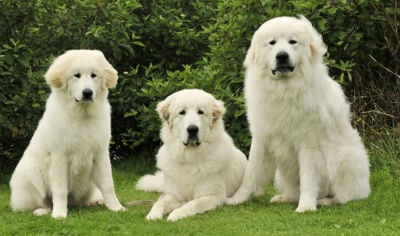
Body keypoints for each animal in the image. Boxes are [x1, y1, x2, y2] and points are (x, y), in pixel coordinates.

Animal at [9, 49, 126, 219]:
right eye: (76, 75)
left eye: (94, 75)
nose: (87, 93)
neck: (81, 116)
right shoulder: (60, 156)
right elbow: (60, 189)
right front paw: (59, 214)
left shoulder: (101, 153)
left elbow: (108, 184)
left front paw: (116, 207)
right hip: (30, 174)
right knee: (41, 201)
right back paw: (42, 210)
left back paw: (96, 201)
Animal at [136, 88, 245, 221]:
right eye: (182, 112)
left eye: (201, 112)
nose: (192, 129)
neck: (189, 158)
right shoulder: (173, 194)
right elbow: (159, 202)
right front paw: (153, 214)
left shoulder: (213, 196)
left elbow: (192, 203)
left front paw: (176, 214)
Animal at [227, 16, 370, 212]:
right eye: (272, 43)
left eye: (292, 42)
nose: (282, 56)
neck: (284, 89)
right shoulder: (261, 138)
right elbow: (251, 174)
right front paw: (237, 199)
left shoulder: (308, 142)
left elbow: (308, 178)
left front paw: (306, 206)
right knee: (294, 191)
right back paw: (284, 198)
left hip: (343, 162)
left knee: (343, 196)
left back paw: (324, 201)